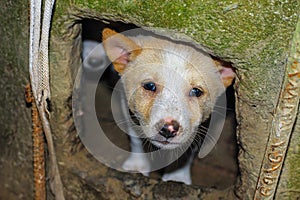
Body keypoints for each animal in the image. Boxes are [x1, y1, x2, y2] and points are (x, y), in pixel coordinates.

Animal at [102, 27, 233, 184]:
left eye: (196, 91)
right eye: (150, 86)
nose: (168, 129)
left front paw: (177, 177)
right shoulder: (127, 105)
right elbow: (135, 137)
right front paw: (137, 166)